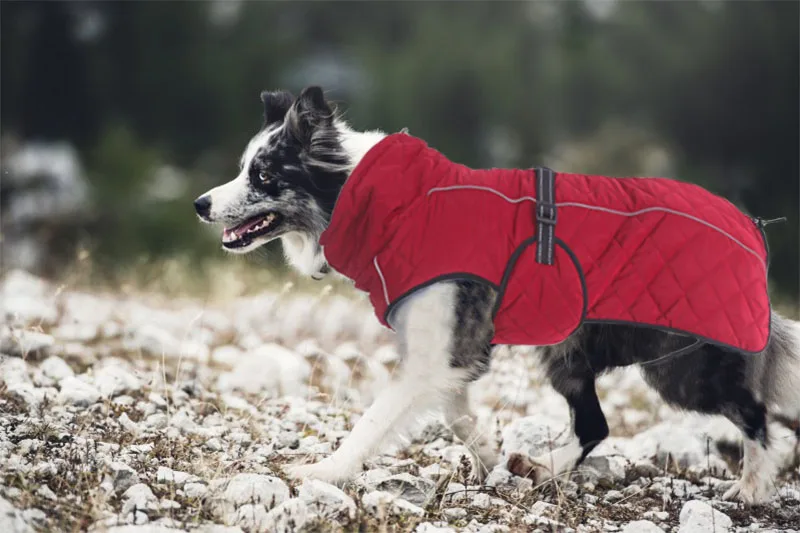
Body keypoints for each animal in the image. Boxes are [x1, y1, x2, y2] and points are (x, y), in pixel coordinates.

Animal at [195, 85, 800, 500]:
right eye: (244, 168)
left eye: (263, 175)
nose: (200, 204)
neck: (377, 201)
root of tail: (751, 229)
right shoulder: (449, 356)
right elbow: (460, 417)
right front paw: (488, 459)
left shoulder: (434, 352)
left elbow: (373, 420)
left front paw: (327, 471)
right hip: (568, 353)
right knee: (595, 425)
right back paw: (542, 472)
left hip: (681, 368)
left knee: (759, 420)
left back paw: (751, 488)